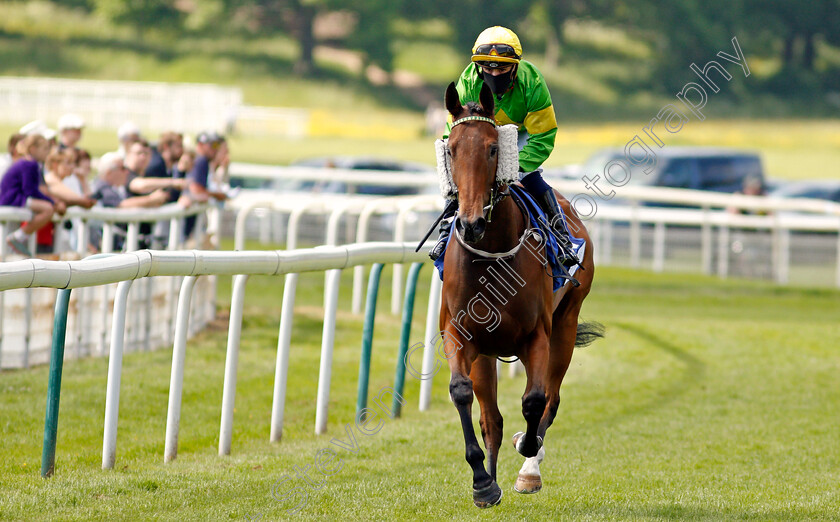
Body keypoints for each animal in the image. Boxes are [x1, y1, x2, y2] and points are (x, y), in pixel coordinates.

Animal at [440, 80, 604, 504]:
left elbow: (534, 401)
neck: (492, 253)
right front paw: (482, 482)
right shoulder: (460, 335)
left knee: (551, 399)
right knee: (491, 418)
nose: (471, 223)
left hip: (566, 325)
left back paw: (529, 465)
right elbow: (462, 393)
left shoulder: (537, 336)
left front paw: (527, 452)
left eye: (493, 148)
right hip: (487, 351)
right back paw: (492, 477)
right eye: (451, 149)